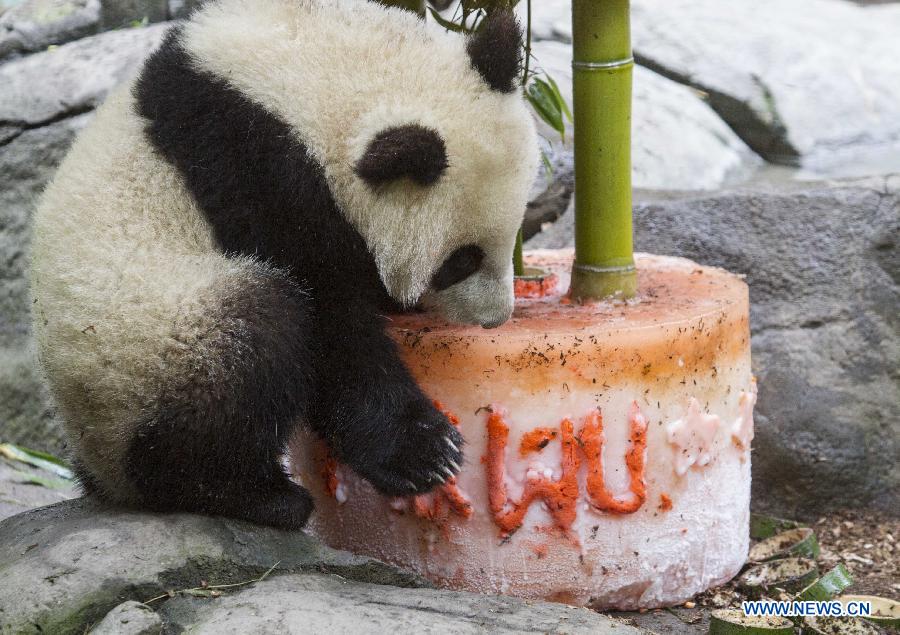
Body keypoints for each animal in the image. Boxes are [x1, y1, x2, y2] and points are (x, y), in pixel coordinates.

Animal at [30, 0, 538, 529]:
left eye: (515, 227)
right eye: (459, 262)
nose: (495, 318)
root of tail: (102, 472)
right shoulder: (252, 171)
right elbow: (330, 324)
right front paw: (424, 452)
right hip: (142, 358)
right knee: (253, 336)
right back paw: (256, 495)